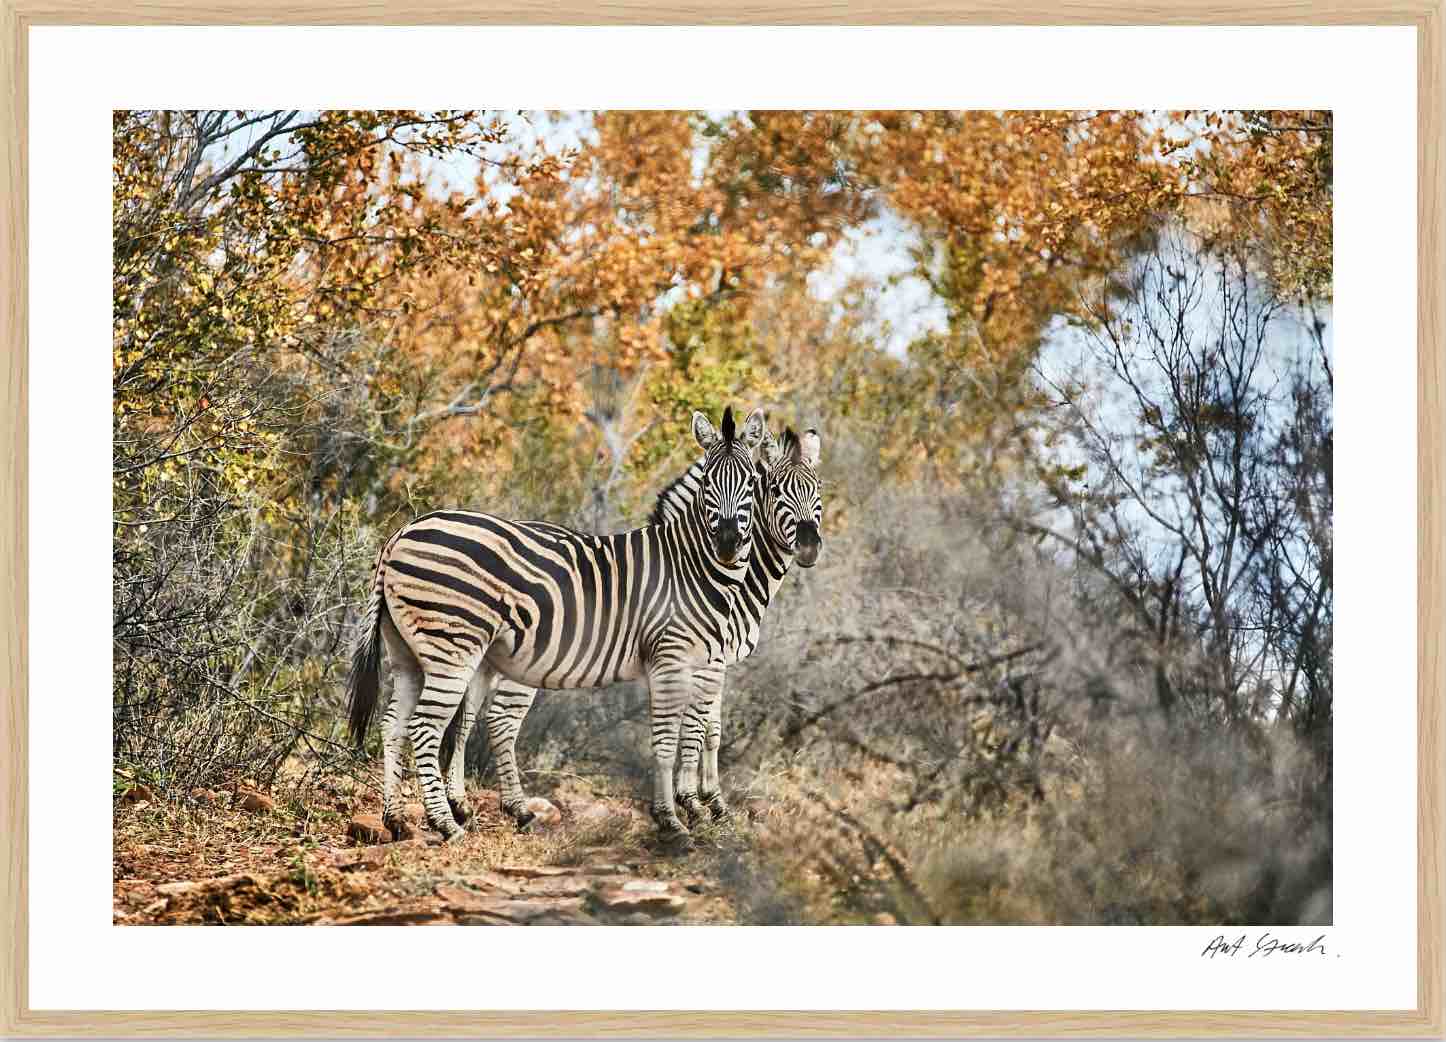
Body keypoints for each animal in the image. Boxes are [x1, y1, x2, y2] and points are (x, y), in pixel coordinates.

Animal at [345, 406, 767, 846]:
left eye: (752, 483)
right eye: (708, 483)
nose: (727, 543)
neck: (690, 566)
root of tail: (401, 533)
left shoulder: (696, 663)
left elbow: (691, 733)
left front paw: (687, 812)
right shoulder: (674, 658)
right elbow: (674, 738)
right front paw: (676, 820)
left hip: (406, 652)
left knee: (393, 724)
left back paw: (396, 819)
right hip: (453, 647)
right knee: (426, 727)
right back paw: (446, 824)